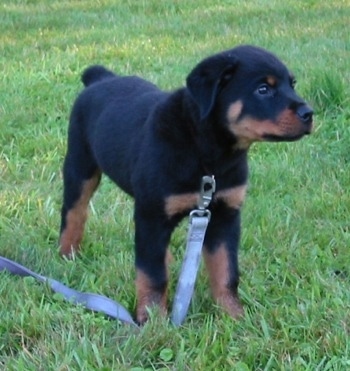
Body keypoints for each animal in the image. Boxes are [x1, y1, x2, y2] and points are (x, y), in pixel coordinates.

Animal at [58, 45, 314, 324]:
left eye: (292, 84)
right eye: (263, 89)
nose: (309, 113)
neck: (209, 154)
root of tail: (101, 78)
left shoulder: (224, 215)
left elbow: (226, 271)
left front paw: (234, 316)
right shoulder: (152, 215)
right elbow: (152, 275)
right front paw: (153, 321)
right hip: (80, 166)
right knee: (74, 213)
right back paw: (67, 254)